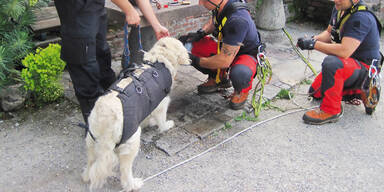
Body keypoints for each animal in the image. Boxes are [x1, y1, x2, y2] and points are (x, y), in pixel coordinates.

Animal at [82, 36, 190, 191]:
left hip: (91, 140)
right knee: (125, 170)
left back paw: (86, 176)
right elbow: (161, 119)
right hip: (131, 142)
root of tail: (106, 118)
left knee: (91, 163)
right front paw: (166, 126)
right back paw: (133, 184)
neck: (159, 61)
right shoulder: (162, 102)